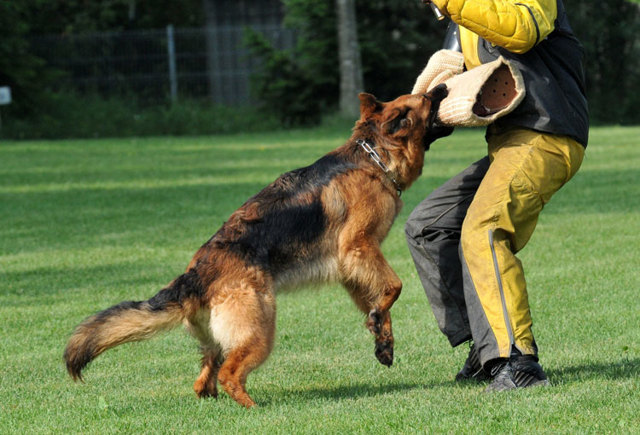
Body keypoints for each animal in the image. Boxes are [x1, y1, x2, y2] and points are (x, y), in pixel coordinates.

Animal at [61, 84, 450, 408]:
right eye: (426, 98)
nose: (444, 85)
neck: (374, 156)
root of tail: (194, 276)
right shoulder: (359, 247)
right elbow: (394, 287)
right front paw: (380, 319)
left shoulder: (352, 267)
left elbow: (378, 303)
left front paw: (381, 336)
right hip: (260, 330)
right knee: (230, 374)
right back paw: (252, 408)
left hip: (223, 338)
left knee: (205, 376)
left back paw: (213, 396)